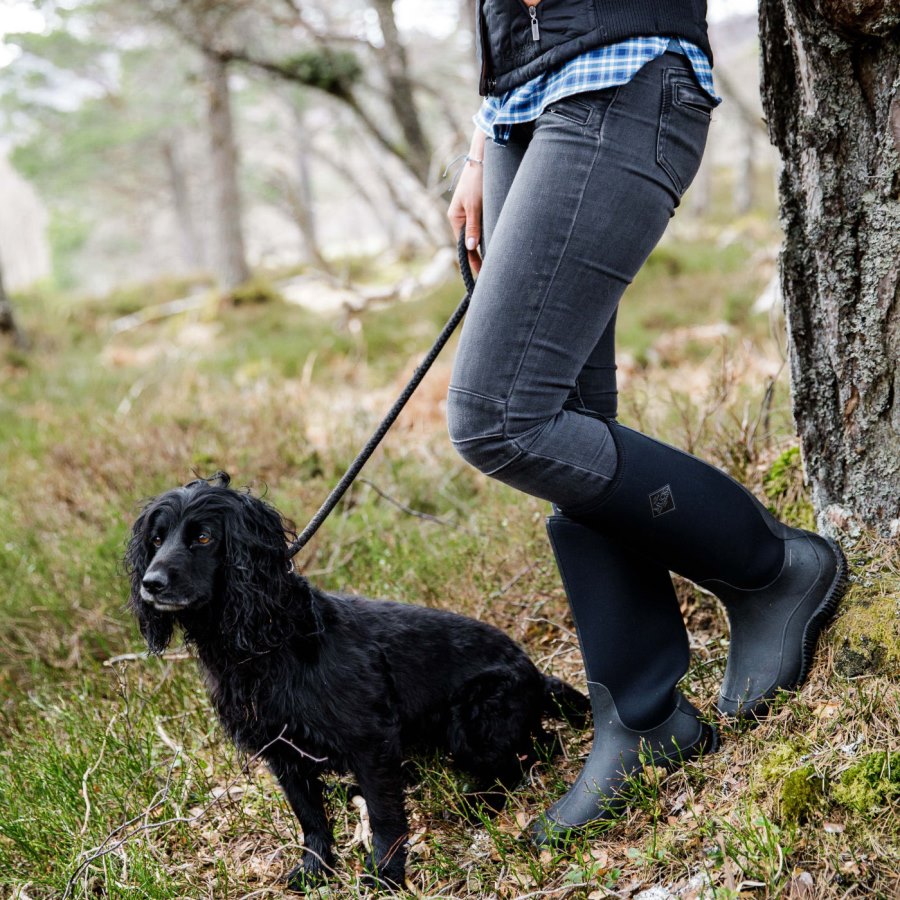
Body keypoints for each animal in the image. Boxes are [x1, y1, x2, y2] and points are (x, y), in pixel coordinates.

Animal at [128, 474, 592, 888]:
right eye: (156, 539)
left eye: (204, 538)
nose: (152, 583)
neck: (270, 642)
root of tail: (535, 672)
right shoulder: (282, 751)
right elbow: (310, 816)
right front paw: (315, 869)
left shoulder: (370, 740)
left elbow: (385, 815)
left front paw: (385, 873)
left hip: (473, 723)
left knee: (533, 753)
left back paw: (475, 803)